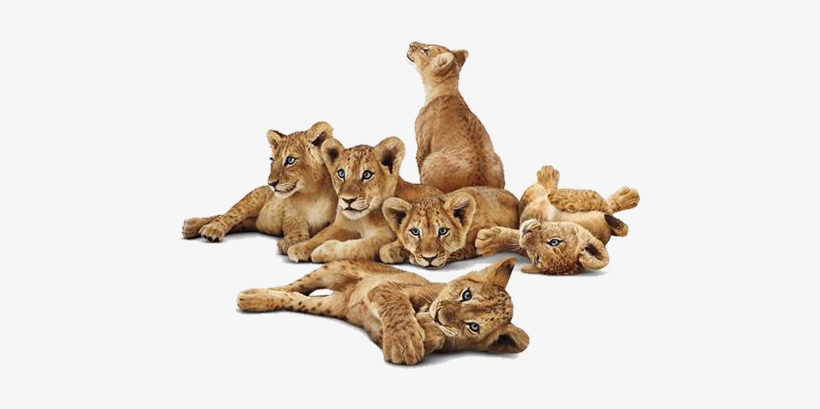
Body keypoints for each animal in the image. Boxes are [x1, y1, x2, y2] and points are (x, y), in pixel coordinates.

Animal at [181, 122, 337, 254]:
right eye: (272, 160)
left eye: (290, 160)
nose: (271, 183)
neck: (312, 194)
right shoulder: (290, 215)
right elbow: (294, 226)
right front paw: (292, 240)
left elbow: (326, 233)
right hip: (251, 199)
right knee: (227, 214)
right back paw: (202, 227)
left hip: (250, 221)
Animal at [237, 257, 529, 365]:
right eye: (466, 295)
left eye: (473, 326)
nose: (440, 315)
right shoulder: (387, 288)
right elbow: (398, 308)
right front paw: (405, 341)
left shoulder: (377, 328)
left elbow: (432, 338)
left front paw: (426, 333)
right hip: (332, 269)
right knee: (294, 286)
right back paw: (251, 295)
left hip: (329, 305)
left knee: (295, 298)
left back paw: (254, 299)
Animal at [285, 136, 442, 263]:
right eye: (341, 173)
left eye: (367, 174)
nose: (347, 200)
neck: (363, 219)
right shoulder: (341, 226)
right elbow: (321, 235)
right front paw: (299, 247)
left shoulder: (386, 236)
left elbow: (358, 247)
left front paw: (323, 250)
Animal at [380, 187, 519, 268]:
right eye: (415, 231)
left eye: (443, 231)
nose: (429, 258)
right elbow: (385, 251)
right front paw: (392, 250)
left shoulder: (486, 227)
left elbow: (464, 247)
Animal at [407, 41, 505, 193]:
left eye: (426, 50)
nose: (411, 43)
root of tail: (475, 185)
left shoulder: (422, 146)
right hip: (498, 159)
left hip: (431, 159)